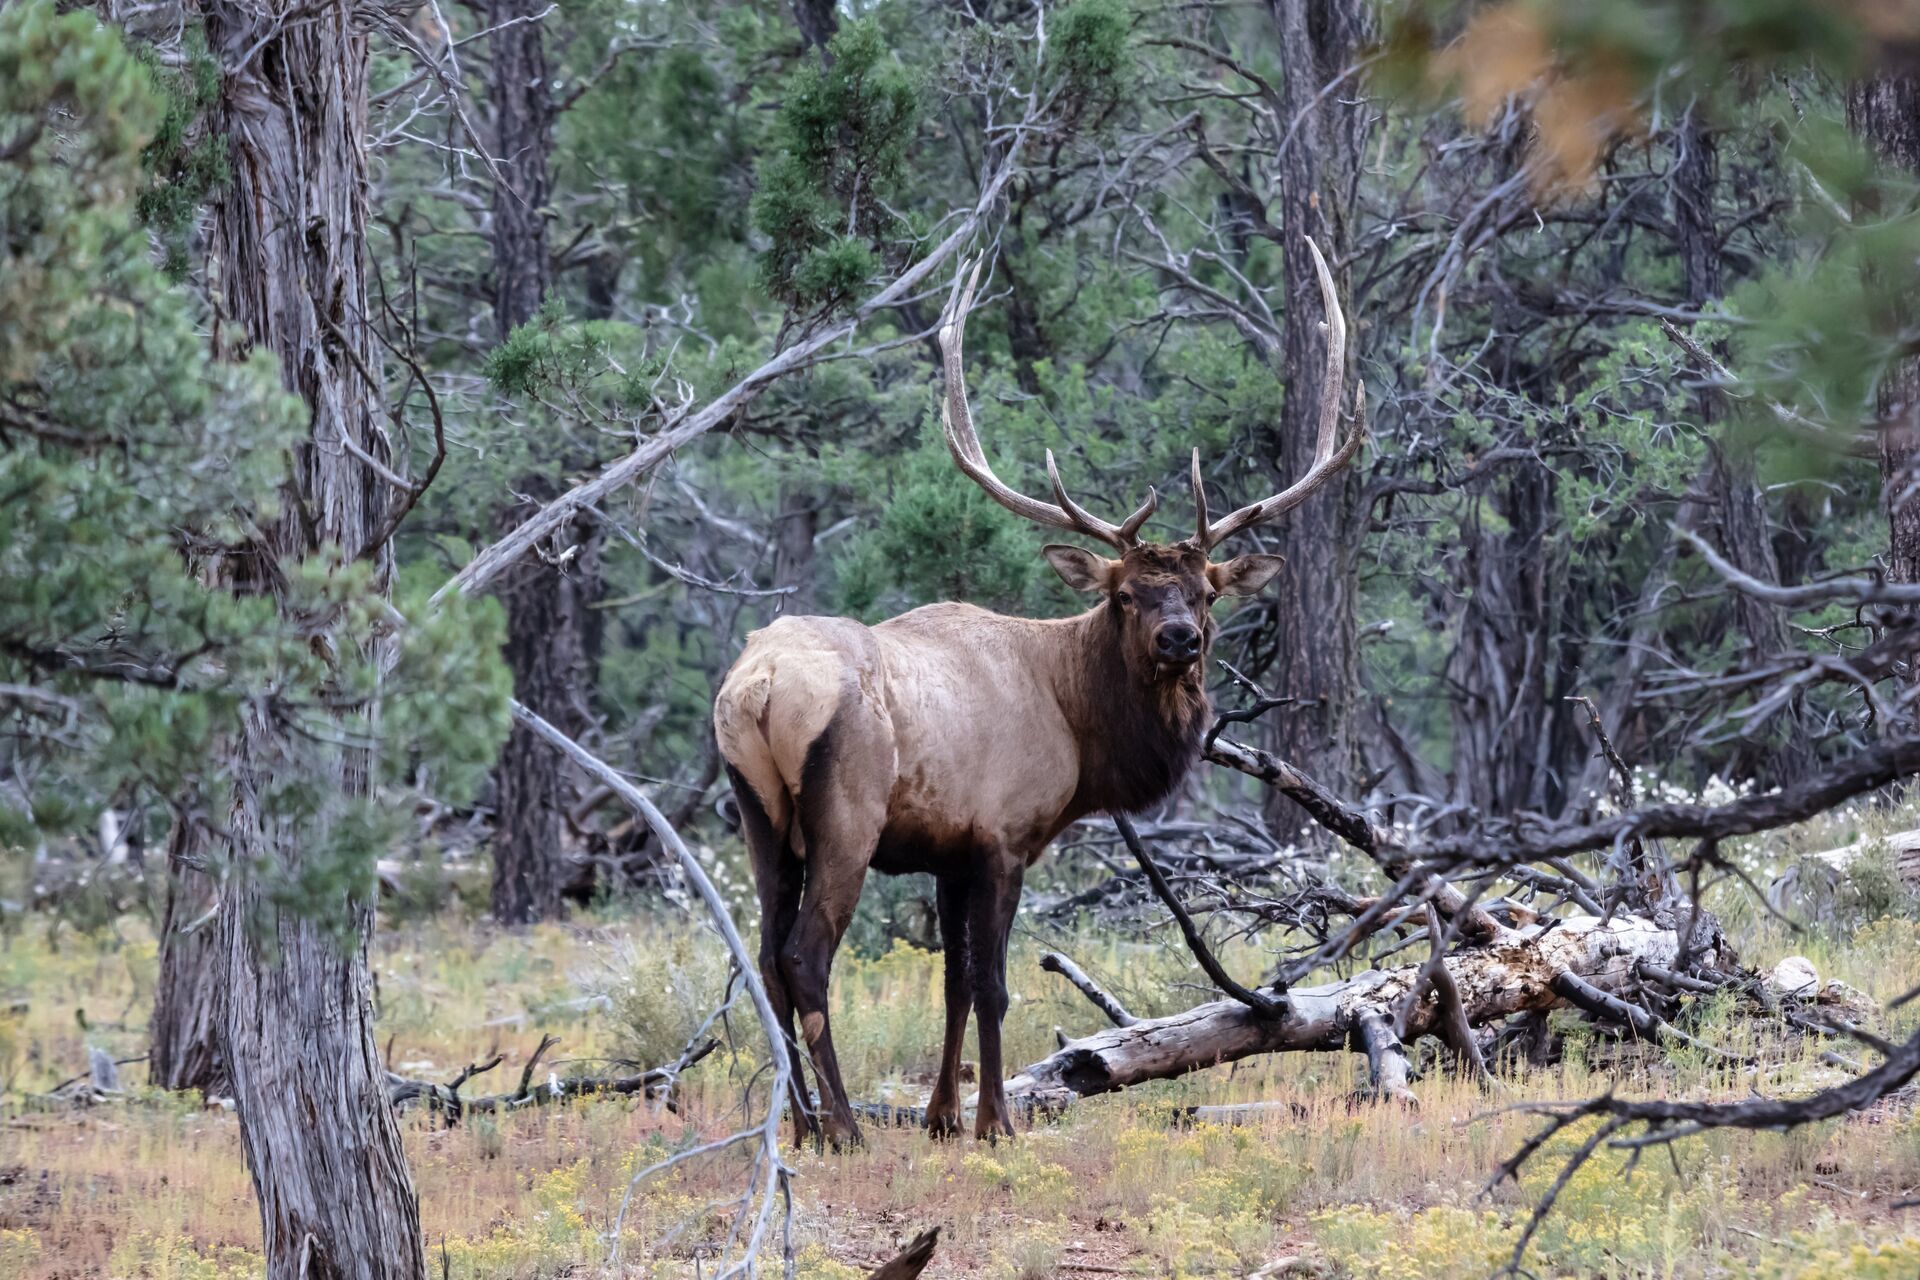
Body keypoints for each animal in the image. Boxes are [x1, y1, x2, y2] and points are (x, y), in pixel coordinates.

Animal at [713, 237, 1364, 1146]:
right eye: (1124, 594)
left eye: (1204, 592)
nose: (1180, 639)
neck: (1078, 728)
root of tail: (760, 686)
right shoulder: (1003, 837)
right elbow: (993, 985)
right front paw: (995, 1122)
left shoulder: (948, 852)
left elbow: (952, 982)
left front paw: (943, 1118)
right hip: (844, 813)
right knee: (805, 959)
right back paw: (843, 1126)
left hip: (761, 815)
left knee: (765, 958)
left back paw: (803, 1125)